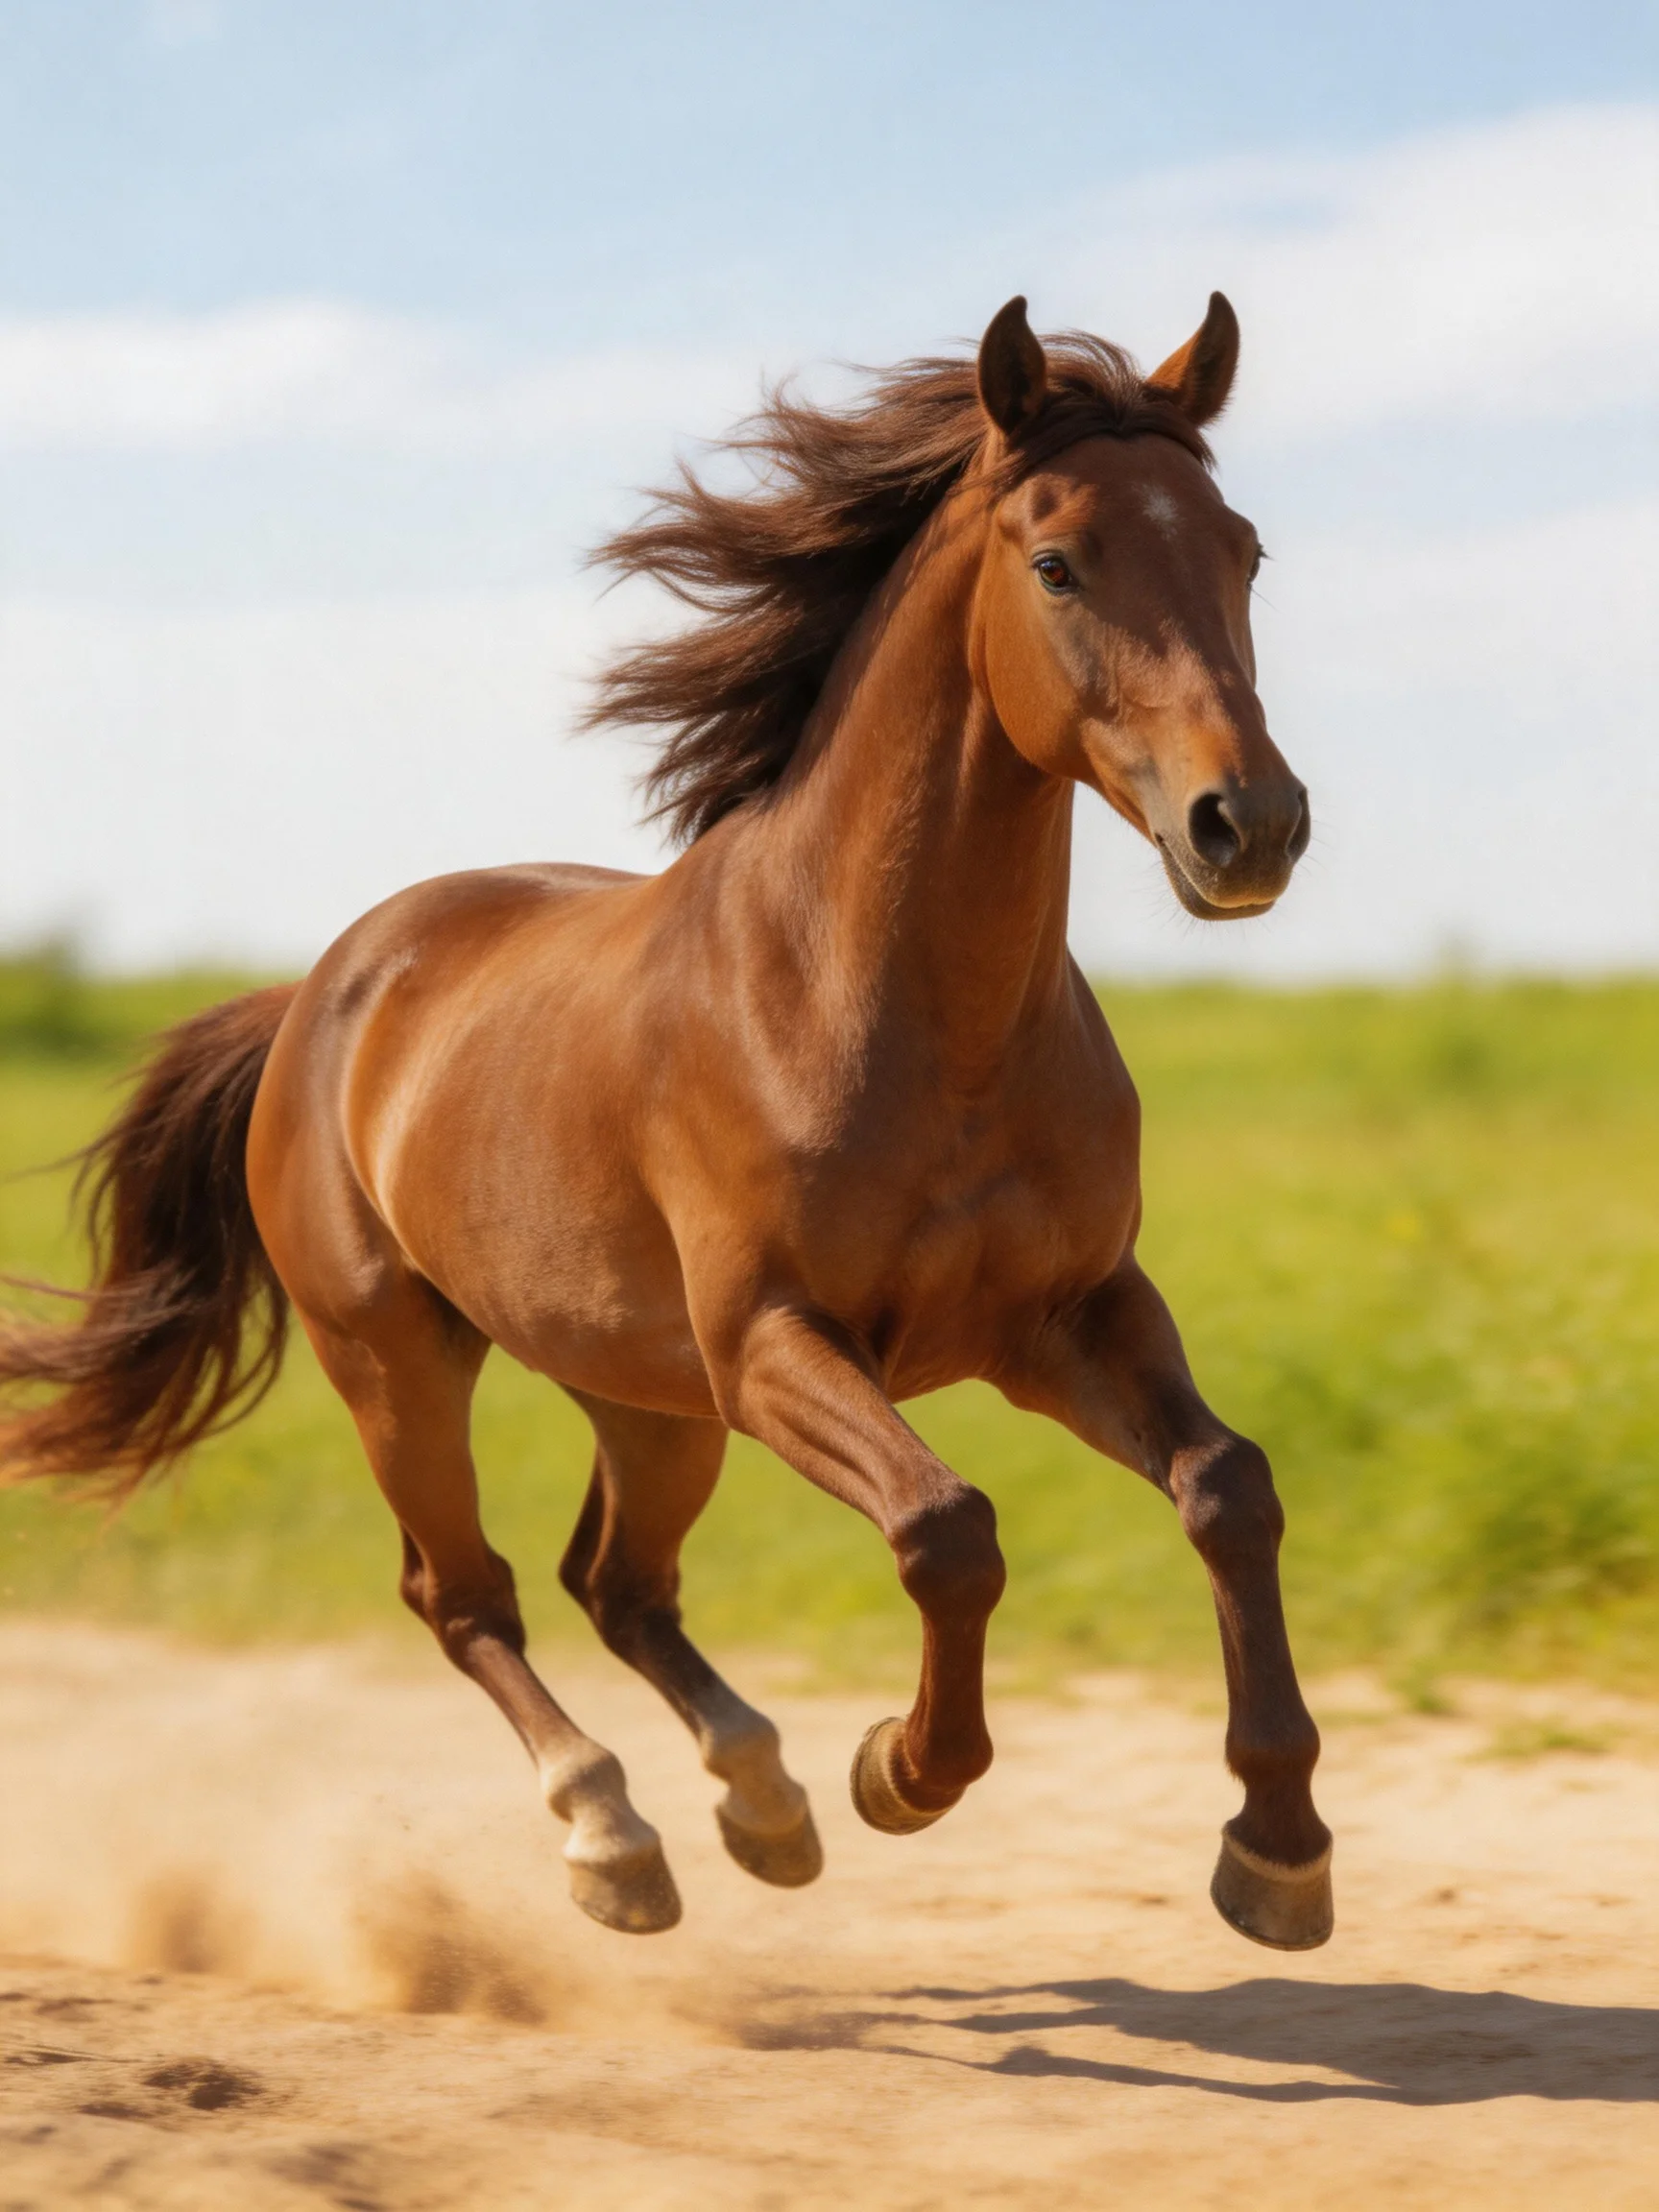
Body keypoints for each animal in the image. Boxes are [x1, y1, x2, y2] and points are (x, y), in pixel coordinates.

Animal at [0, 294, 1332, 1950]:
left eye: (1243, 549)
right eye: (1059, 564)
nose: (1250, 826)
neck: (903, 1015)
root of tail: (318, 996)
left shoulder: (1069, 1314)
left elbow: (1229, 1489)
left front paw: (1278, 1849)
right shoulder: (775, 1342)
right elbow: (948, 1530)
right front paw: (903, 1769)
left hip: (645, 1394)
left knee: (616, 1582)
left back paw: (761, 1809)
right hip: (402, 1365)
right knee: (468, 1594)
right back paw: (615, 1839)